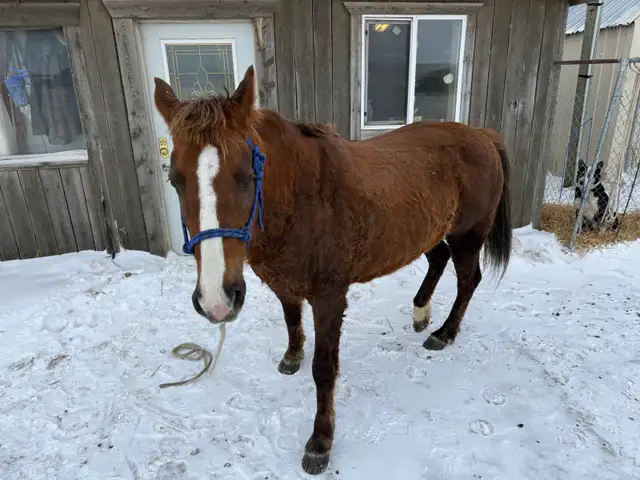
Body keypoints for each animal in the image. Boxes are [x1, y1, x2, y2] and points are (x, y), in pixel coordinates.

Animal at [153, 65, 512, 475]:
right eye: (175, 180)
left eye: (246, 176)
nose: (216, 300)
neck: (302, 198)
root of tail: (482, 135)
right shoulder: (283, 283)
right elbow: (292, 321)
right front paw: (292, 357)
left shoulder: (329, 298)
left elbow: (324, 370)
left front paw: (320, 442)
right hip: (428, 229)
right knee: (438, 260)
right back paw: (421, 312)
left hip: (468, 236)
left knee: (468, 280)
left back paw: (444, 333)